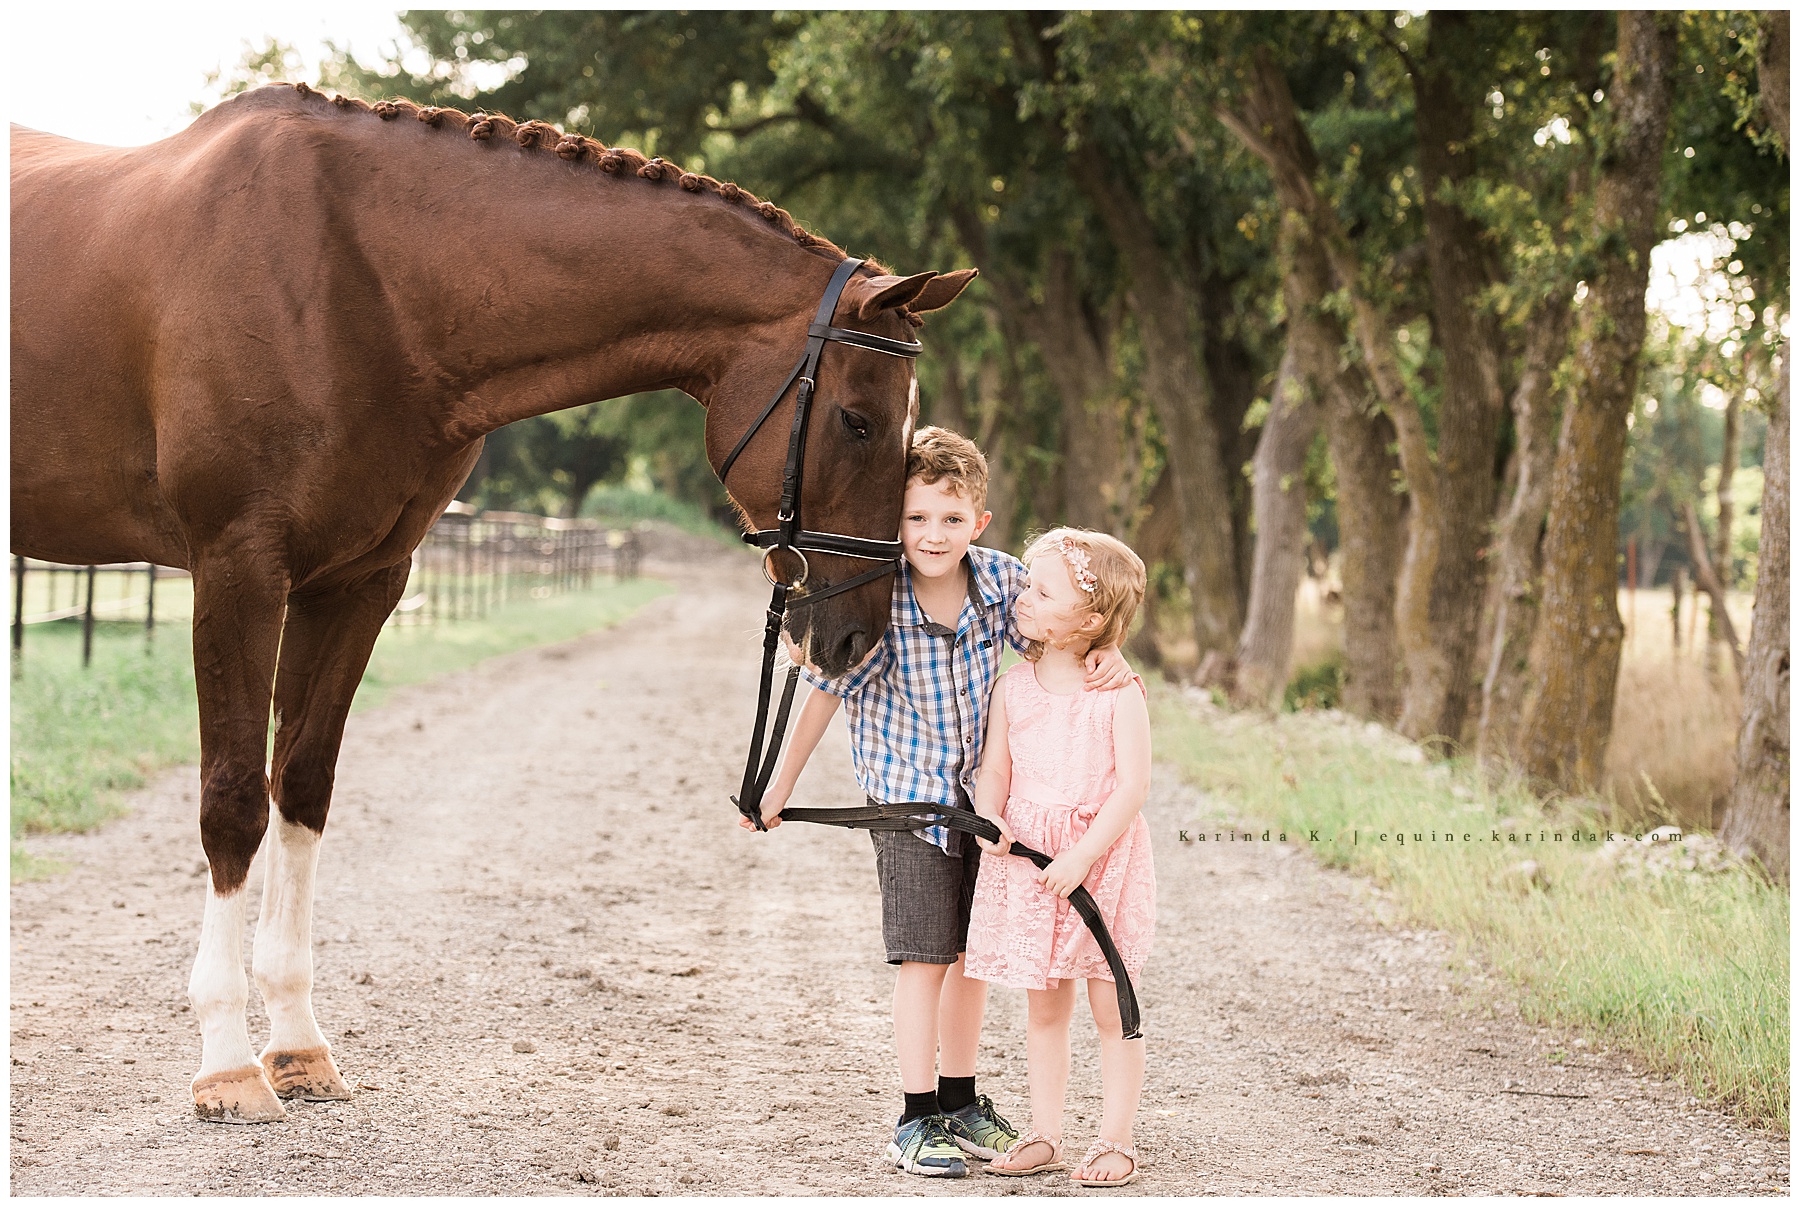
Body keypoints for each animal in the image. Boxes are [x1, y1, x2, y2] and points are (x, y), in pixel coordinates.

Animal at [10, 82, 974, 1124]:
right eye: (857, 420)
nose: (857, 635)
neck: (357, 276)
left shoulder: (359, 583)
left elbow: (301, 787)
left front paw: (299, 1046)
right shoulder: (239, 568)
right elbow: (231, 801)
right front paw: (227, 1063)